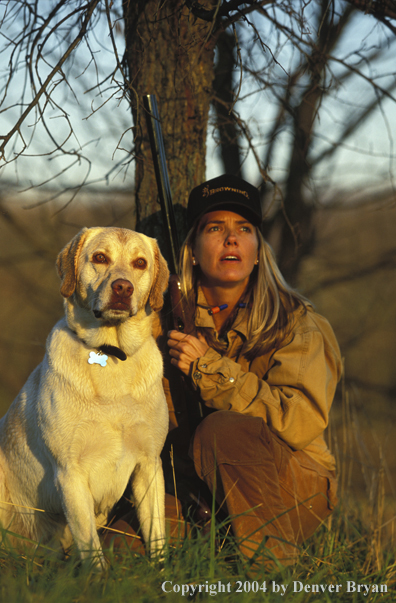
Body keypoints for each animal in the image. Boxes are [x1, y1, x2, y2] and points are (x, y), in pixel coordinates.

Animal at [0, 225, 169, 568]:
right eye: (100, 258)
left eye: (140, 263)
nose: (123, 287)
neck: (112, 354)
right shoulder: (71, 472)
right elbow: (91, 547)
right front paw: (100, 578)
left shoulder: (149, 464)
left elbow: (156, 535)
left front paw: (161, 571)